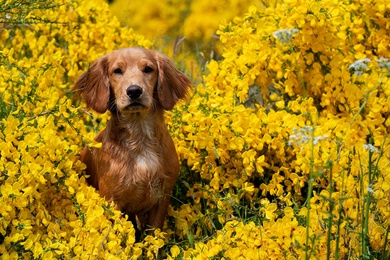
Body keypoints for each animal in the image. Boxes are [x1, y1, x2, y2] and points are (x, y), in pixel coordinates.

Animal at [73, 48, 192, 232]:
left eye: (148, 69)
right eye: (117, 71)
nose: (134, 91)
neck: (140, 138)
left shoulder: (162, 197)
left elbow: (153, 234)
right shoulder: (112, 200)